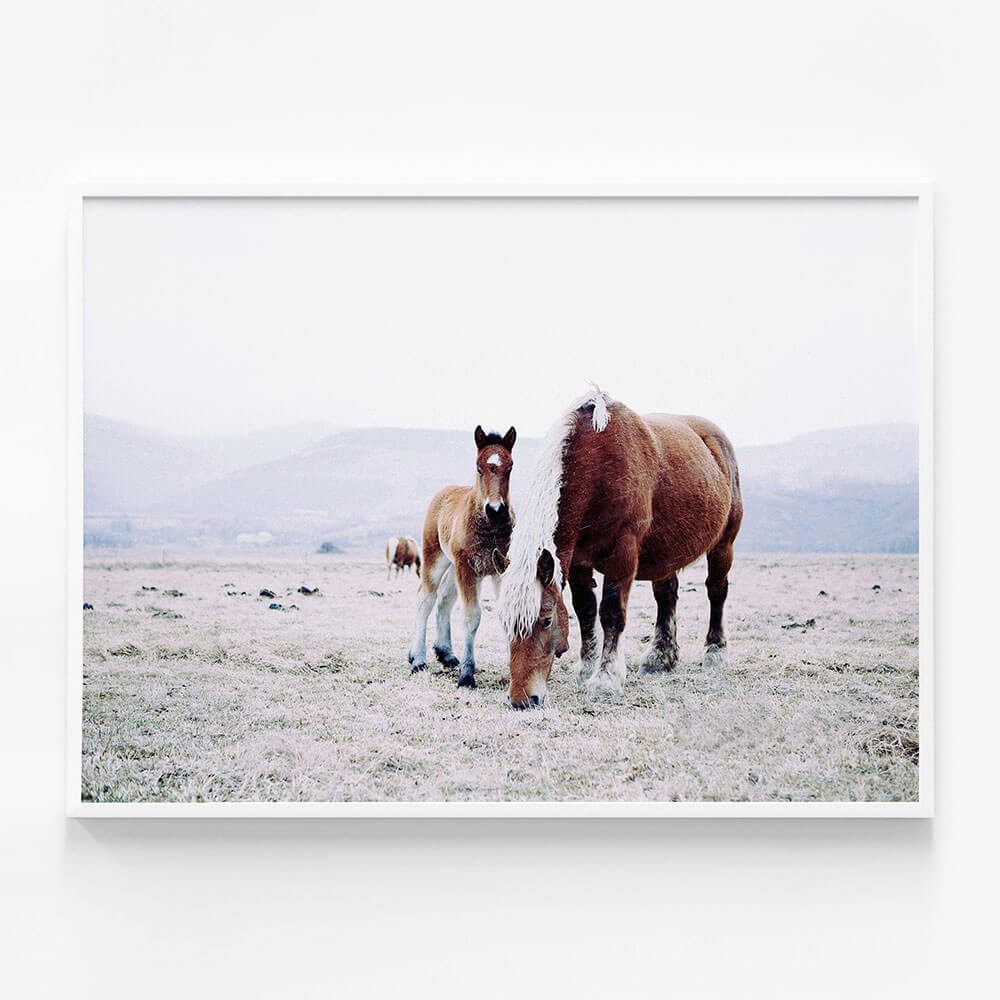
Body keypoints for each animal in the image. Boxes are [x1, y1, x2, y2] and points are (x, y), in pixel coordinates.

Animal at [408, 425, 517, 688]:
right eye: (479, 468)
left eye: (510, 468)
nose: (495, 510)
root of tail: (445, 491)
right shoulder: (468, 568)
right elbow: (471, 617)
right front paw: (467, 676)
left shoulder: (501, 569)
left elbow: (507, 614)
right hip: (436, 559)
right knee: (425, 598)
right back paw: (418, 660)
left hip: (453, 566)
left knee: (444, 600)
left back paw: (445, 653)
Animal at [496, 388, 742, 709]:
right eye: (504, 623)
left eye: (546, 621)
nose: (522, 700)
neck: (597, 466)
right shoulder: (579, 561)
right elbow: (585, 610)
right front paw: (586, 667)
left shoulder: (622, 553)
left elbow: (611, 612)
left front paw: (605, 679)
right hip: (665, 551)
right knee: (666, 596)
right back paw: (660, 658)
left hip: (724, 545)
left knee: (716, 590)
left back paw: (715, 652)